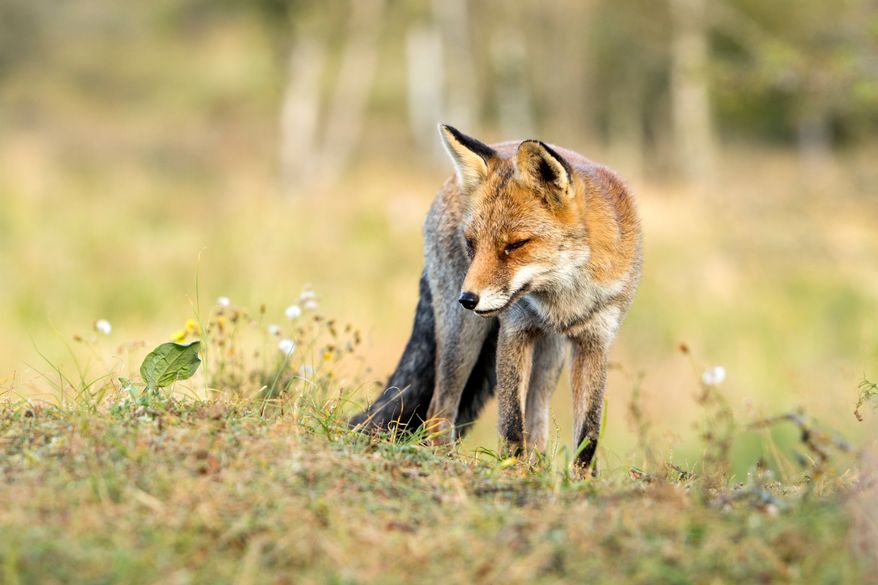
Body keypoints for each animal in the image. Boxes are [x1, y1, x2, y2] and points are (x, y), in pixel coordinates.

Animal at [350, 124, 642, 470]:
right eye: (472, 244)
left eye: (515, 245)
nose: (468, 299)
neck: (564, 298)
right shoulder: (515, 330)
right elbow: (511, 421)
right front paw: (510, 467)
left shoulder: (595, 340)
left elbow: (588, 432)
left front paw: (580, 477)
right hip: (463, 337)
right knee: (439, 408)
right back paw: (444, 456)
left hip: (550, 355)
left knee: (537, 418)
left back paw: (537, 465)